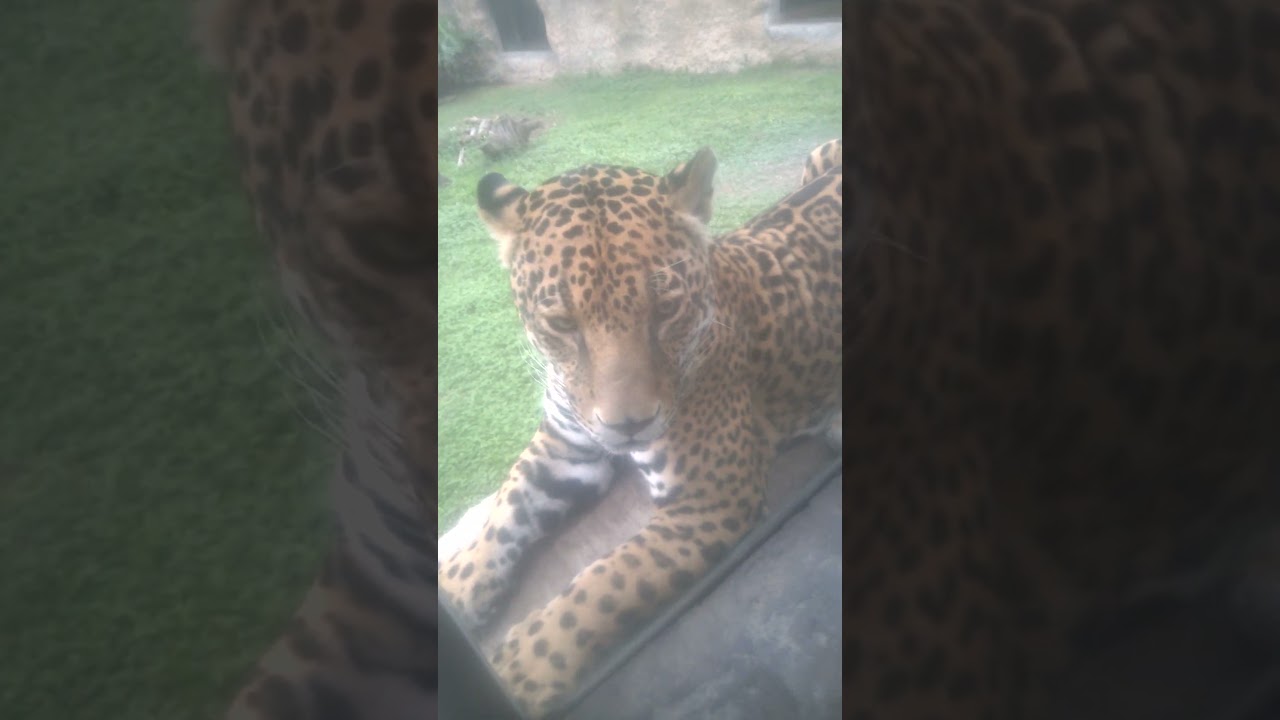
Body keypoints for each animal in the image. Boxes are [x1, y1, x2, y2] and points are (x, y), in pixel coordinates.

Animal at [438, 145, 843, 716]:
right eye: (562, 324)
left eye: (666, 309)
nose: (627, 425)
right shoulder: (565, 449)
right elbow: (503, 517)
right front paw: (454, 591)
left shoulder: (708, 501)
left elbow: (600, 591)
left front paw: (517, 670)